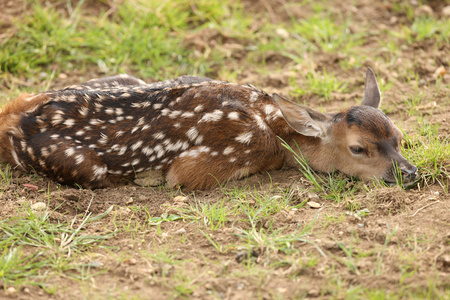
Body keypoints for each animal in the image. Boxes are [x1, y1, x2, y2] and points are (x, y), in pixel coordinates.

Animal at [0, 68, 418, 190]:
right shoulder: (200, 166)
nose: (410, 172)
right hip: (82, 166)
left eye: (400, 139)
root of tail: (12, 115)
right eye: (358, 148)